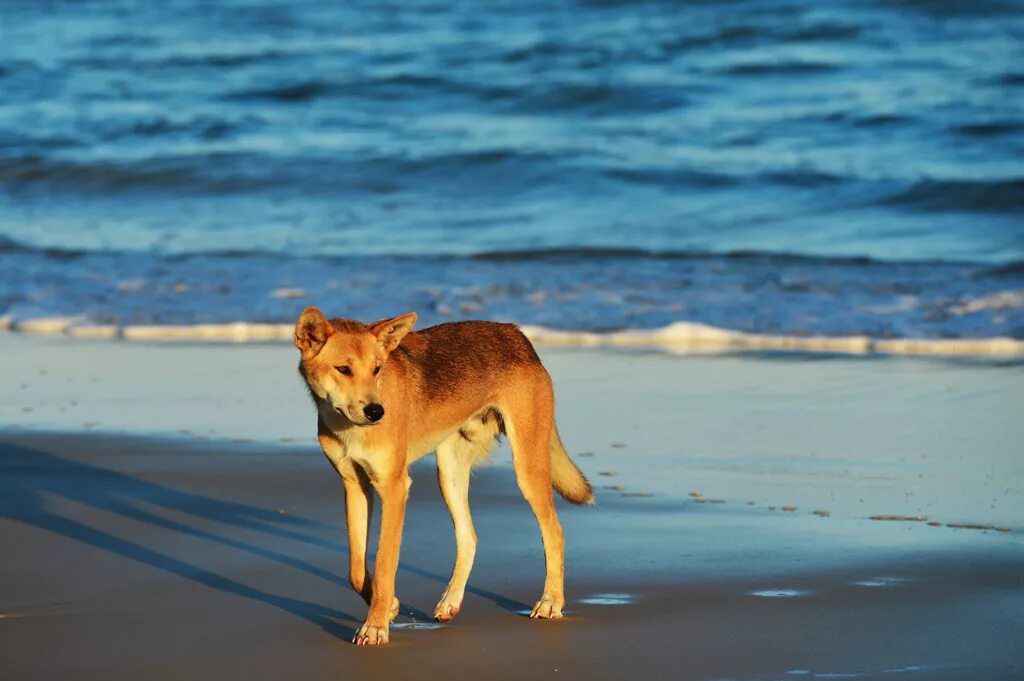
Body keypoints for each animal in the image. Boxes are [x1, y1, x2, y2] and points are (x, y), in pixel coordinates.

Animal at [294, 307, 593, 643]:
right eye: (343, 369)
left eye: (376, 369)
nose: (376, 412)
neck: (349, 429)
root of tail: (516, 334)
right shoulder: (354, 485)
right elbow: (356, 571)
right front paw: (390, 606)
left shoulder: (394, 488)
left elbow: (384, 564)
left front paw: (375, 625)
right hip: (449, 473)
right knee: (469, 536)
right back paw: (451, 601)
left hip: (527, 468)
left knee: (554, 531)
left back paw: (551, 601)